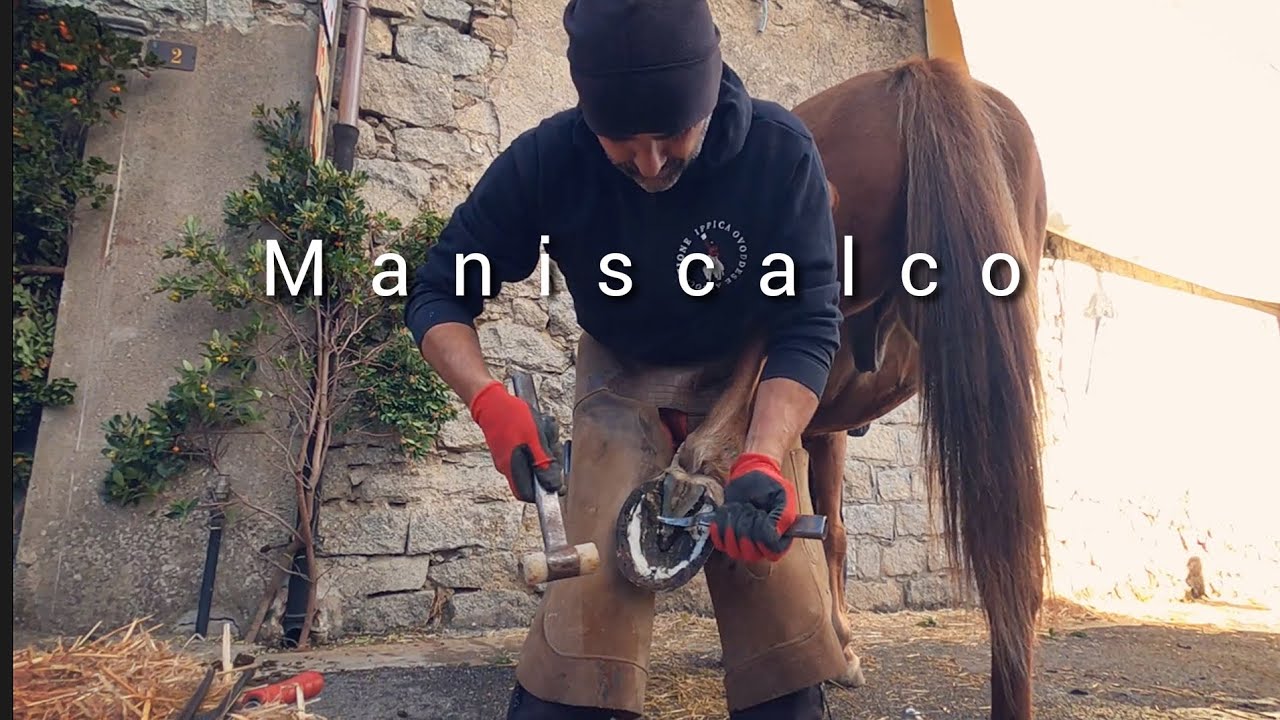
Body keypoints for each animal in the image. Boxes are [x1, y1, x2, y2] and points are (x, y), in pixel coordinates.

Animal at [665, 55, 1050, 720]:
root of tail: (913, 76)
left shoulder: (822, 433)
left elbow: (828, 533)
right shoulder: (827, 432)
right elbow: (831, 532)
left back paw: (703, 458)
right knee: (1010, 540)